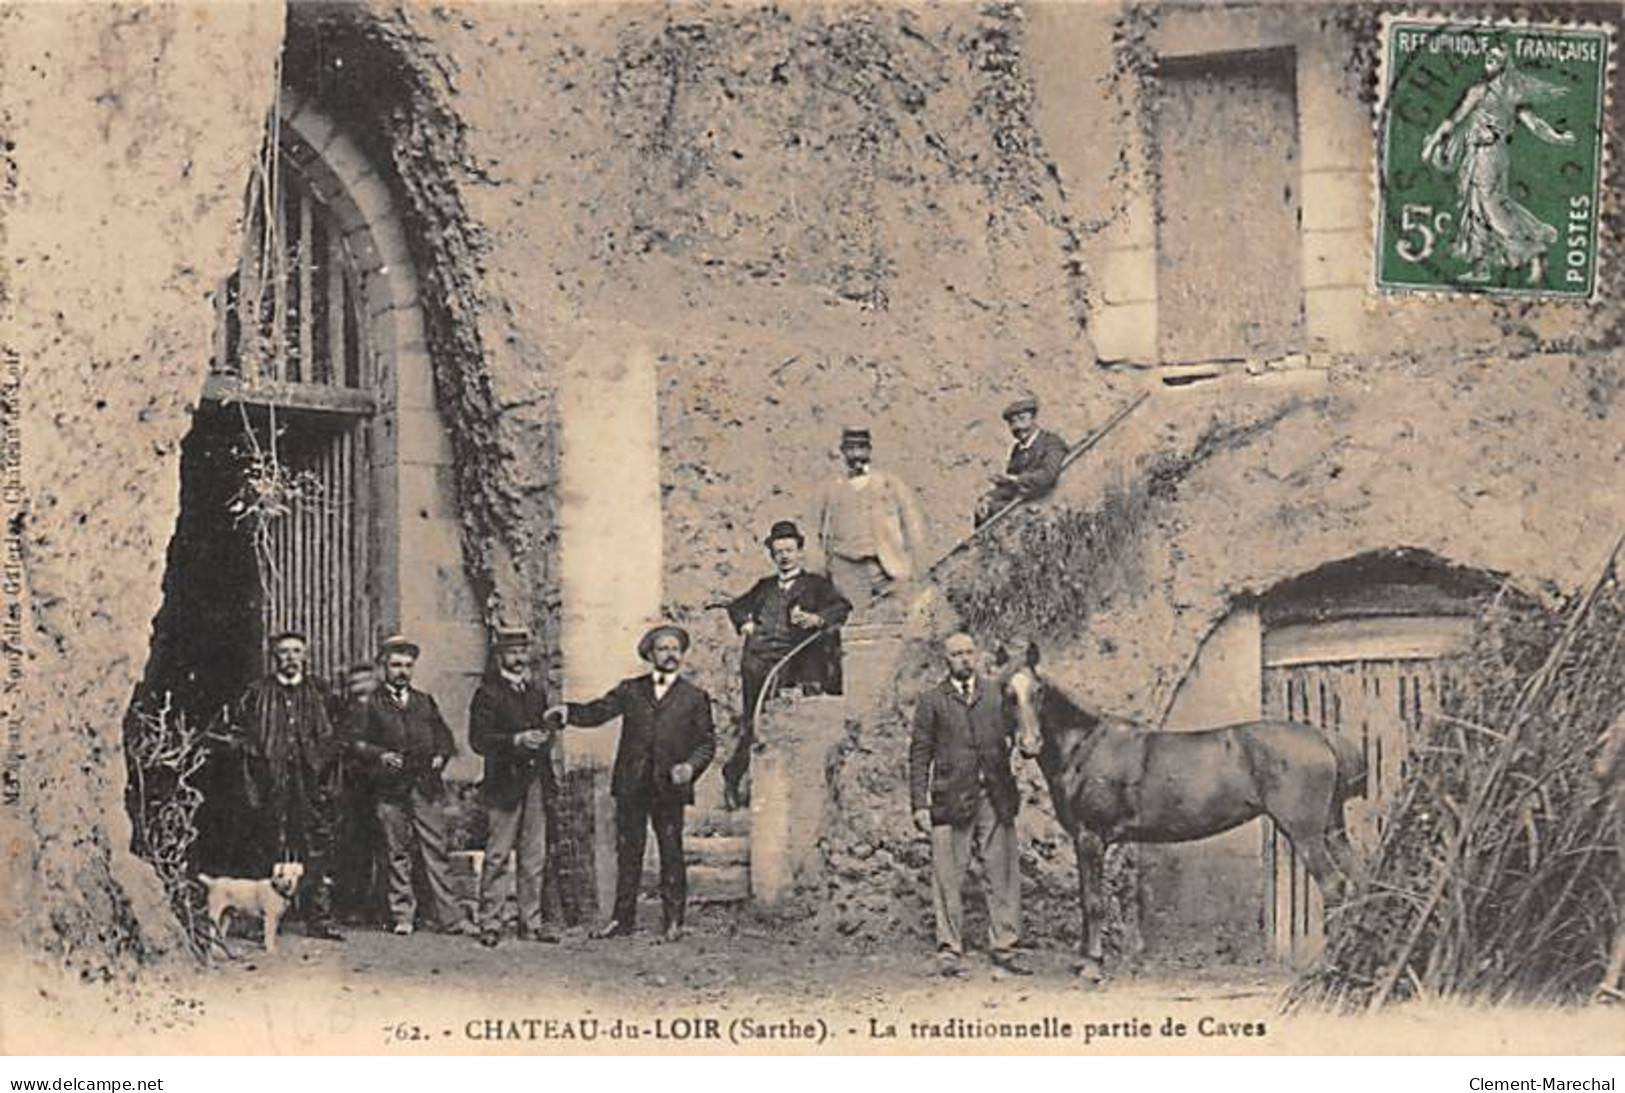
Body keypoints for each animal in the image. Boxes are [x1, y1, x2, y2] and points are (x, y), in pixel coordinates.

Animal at [994, 643, 1365, 974]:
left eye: (1039, 691)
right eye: (1006, 691)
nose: (1029, 745)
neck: (1085, 746)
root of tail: (1323, 738)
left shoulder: (1090, 837)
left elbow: (1093, 902)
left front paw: (1092, 964)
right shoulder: (1084, 839)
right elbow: (1087, 899)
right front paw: (1085, 958)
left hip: (1306, 834)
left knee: (1334, 885)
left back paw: (1328, 965)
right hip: (1332, 829)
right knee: (1355, 879)